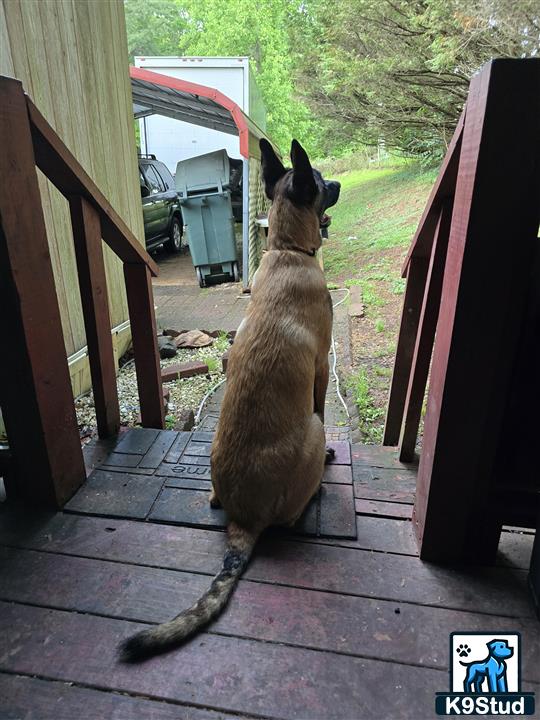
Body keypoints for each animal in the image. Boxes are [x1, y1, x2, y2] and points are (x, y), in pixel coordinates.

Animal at [120, 138, 340, 660]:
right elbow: (322, 402)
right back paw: (314, 490)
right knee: (294, 502)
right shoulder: (321, 369)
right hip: (310, 432)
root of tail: (244, 521)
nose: (340, 182)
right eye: (323, 182)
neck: (287, 251)